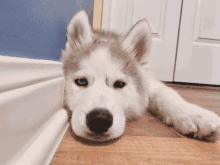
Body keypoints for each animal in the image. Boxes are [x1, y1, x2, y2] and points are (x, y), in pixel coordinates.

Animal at [60, 10, 220, 142]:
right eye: (81, 82)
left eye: (119, 84)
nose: (99, 119)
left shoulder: (149, 82)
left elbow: (166, 93)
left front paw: (195, 115)